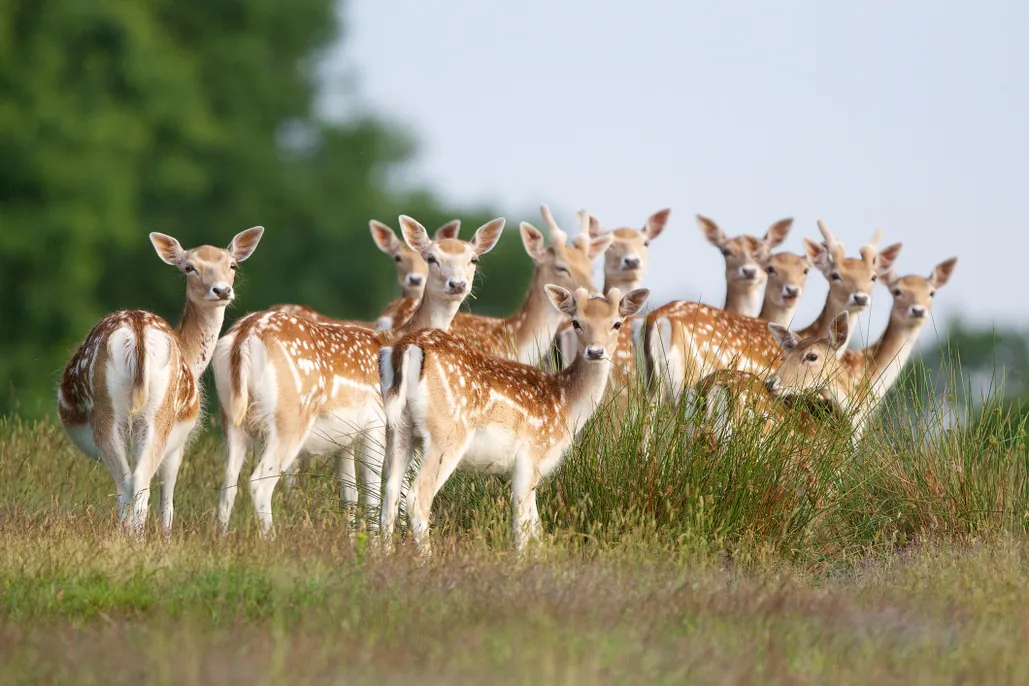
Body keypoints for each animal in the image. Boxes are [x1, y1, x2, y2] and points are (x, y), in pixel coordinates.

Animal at [58, 227, 265, 538]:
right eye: (189, 267)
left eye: (232, 265)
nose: (221, 290)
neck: (191, 355)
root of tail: (137, 333)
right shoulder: (179, 444)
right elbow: (167, 501)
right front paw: (167, 539)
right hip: (158, 415)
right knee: (137, 484)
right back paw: (136, 539)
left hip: (115, 414)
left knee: (127, 483)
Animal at [377, 284, 650, 555]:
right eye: (576, 322)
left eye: (616, 323)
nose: (595, 351)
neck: (566, 405)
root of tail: (406, 347)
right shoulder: (531, 456)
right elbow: (523, 524)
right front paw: (522, 560)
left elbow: (536, 527)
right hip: (448, 432)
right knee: (418, 496)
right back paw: (426, 557)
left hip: (398, 427)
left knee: (390, 494)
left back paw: (385, 554)